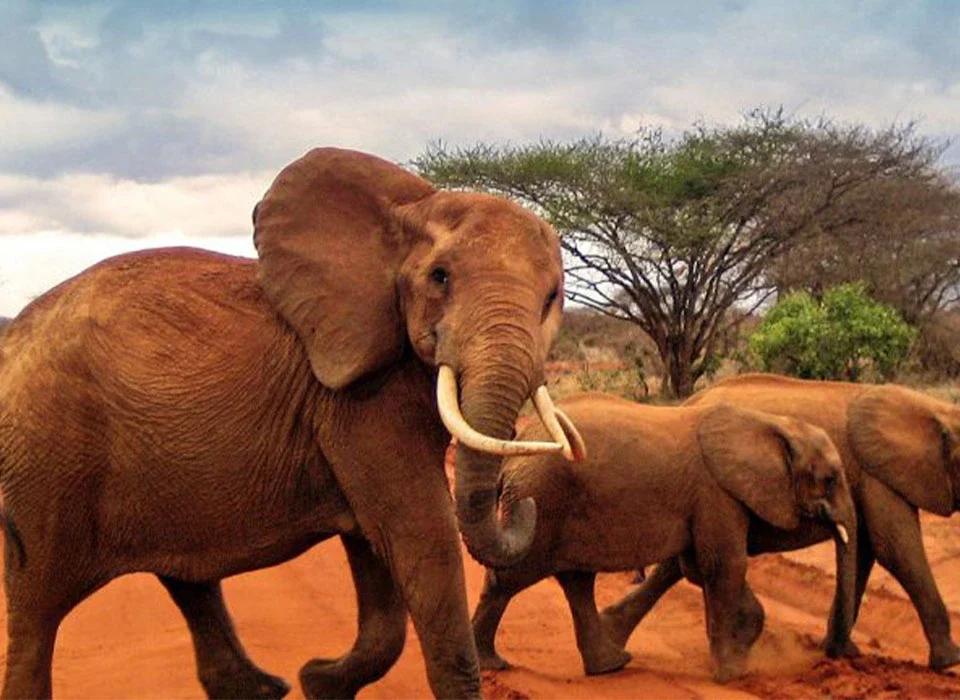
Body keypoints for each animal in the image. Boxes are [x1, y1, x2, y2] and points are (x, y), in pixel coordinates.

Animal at [0, 148, 585, 699]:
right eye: (440, 278)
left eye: (551, 298)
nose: (523, 504)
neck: (410, 211)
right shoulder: (361, 400)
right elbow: (419, 532)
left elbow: (377, 554)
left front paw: (319, 682)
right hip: (45, 462)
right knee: (35, 613)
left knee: (187, 582)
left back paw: (263, 689)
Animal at [471, 392, 857, 683]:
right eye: (830, 479)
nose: (836, 657)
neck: (771, 423)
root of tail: (517, 446)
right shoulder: (716, 492)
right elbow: (724, 565)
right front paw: (732, 675)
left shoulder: (709, 500)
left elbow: (698, 566)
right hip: (541, 500)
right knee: (511, 578)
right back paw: (491, 664)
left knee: (576, 582)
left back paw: (610, 665)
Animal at [603, 373, 960, 672]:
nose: (835, 652)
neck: (938, 410)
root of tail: (687, 403)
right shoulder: (877, 474)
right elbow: (895, 548)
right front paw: (950, 662)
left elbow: (866, 549)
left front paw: (845, 651)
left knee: (682, 562)